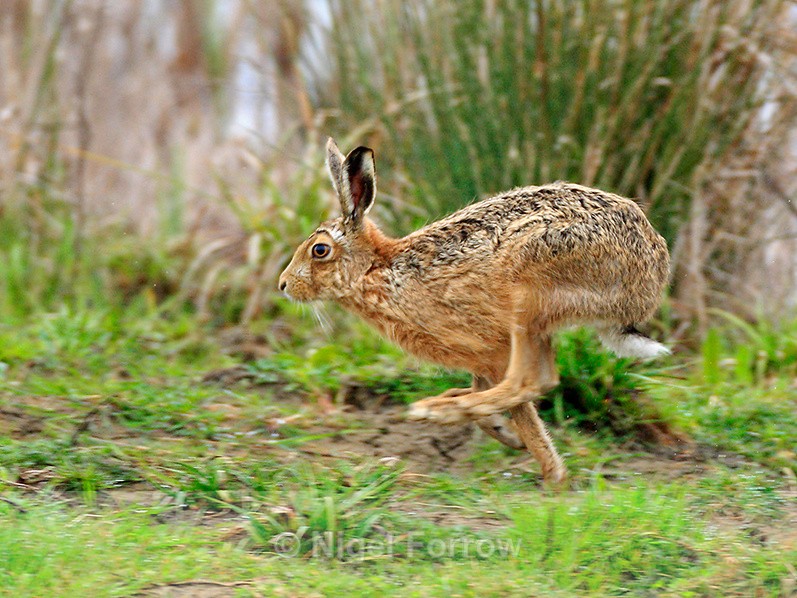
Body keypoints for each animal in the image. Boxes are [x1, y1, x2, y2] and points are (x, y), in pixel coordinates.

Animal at [278, 138, 670, 483]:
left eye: (319, 250)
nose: (283, 285)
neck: (377, 271)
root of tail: (650, 275)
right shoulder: (479, 361)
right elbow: (486, 396)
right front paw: (509, 436)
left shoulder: (492, 349)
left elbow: (520, 404)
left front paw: (551, 473)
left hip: (529, 288)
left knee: (533, 380)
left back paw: (436, 410)